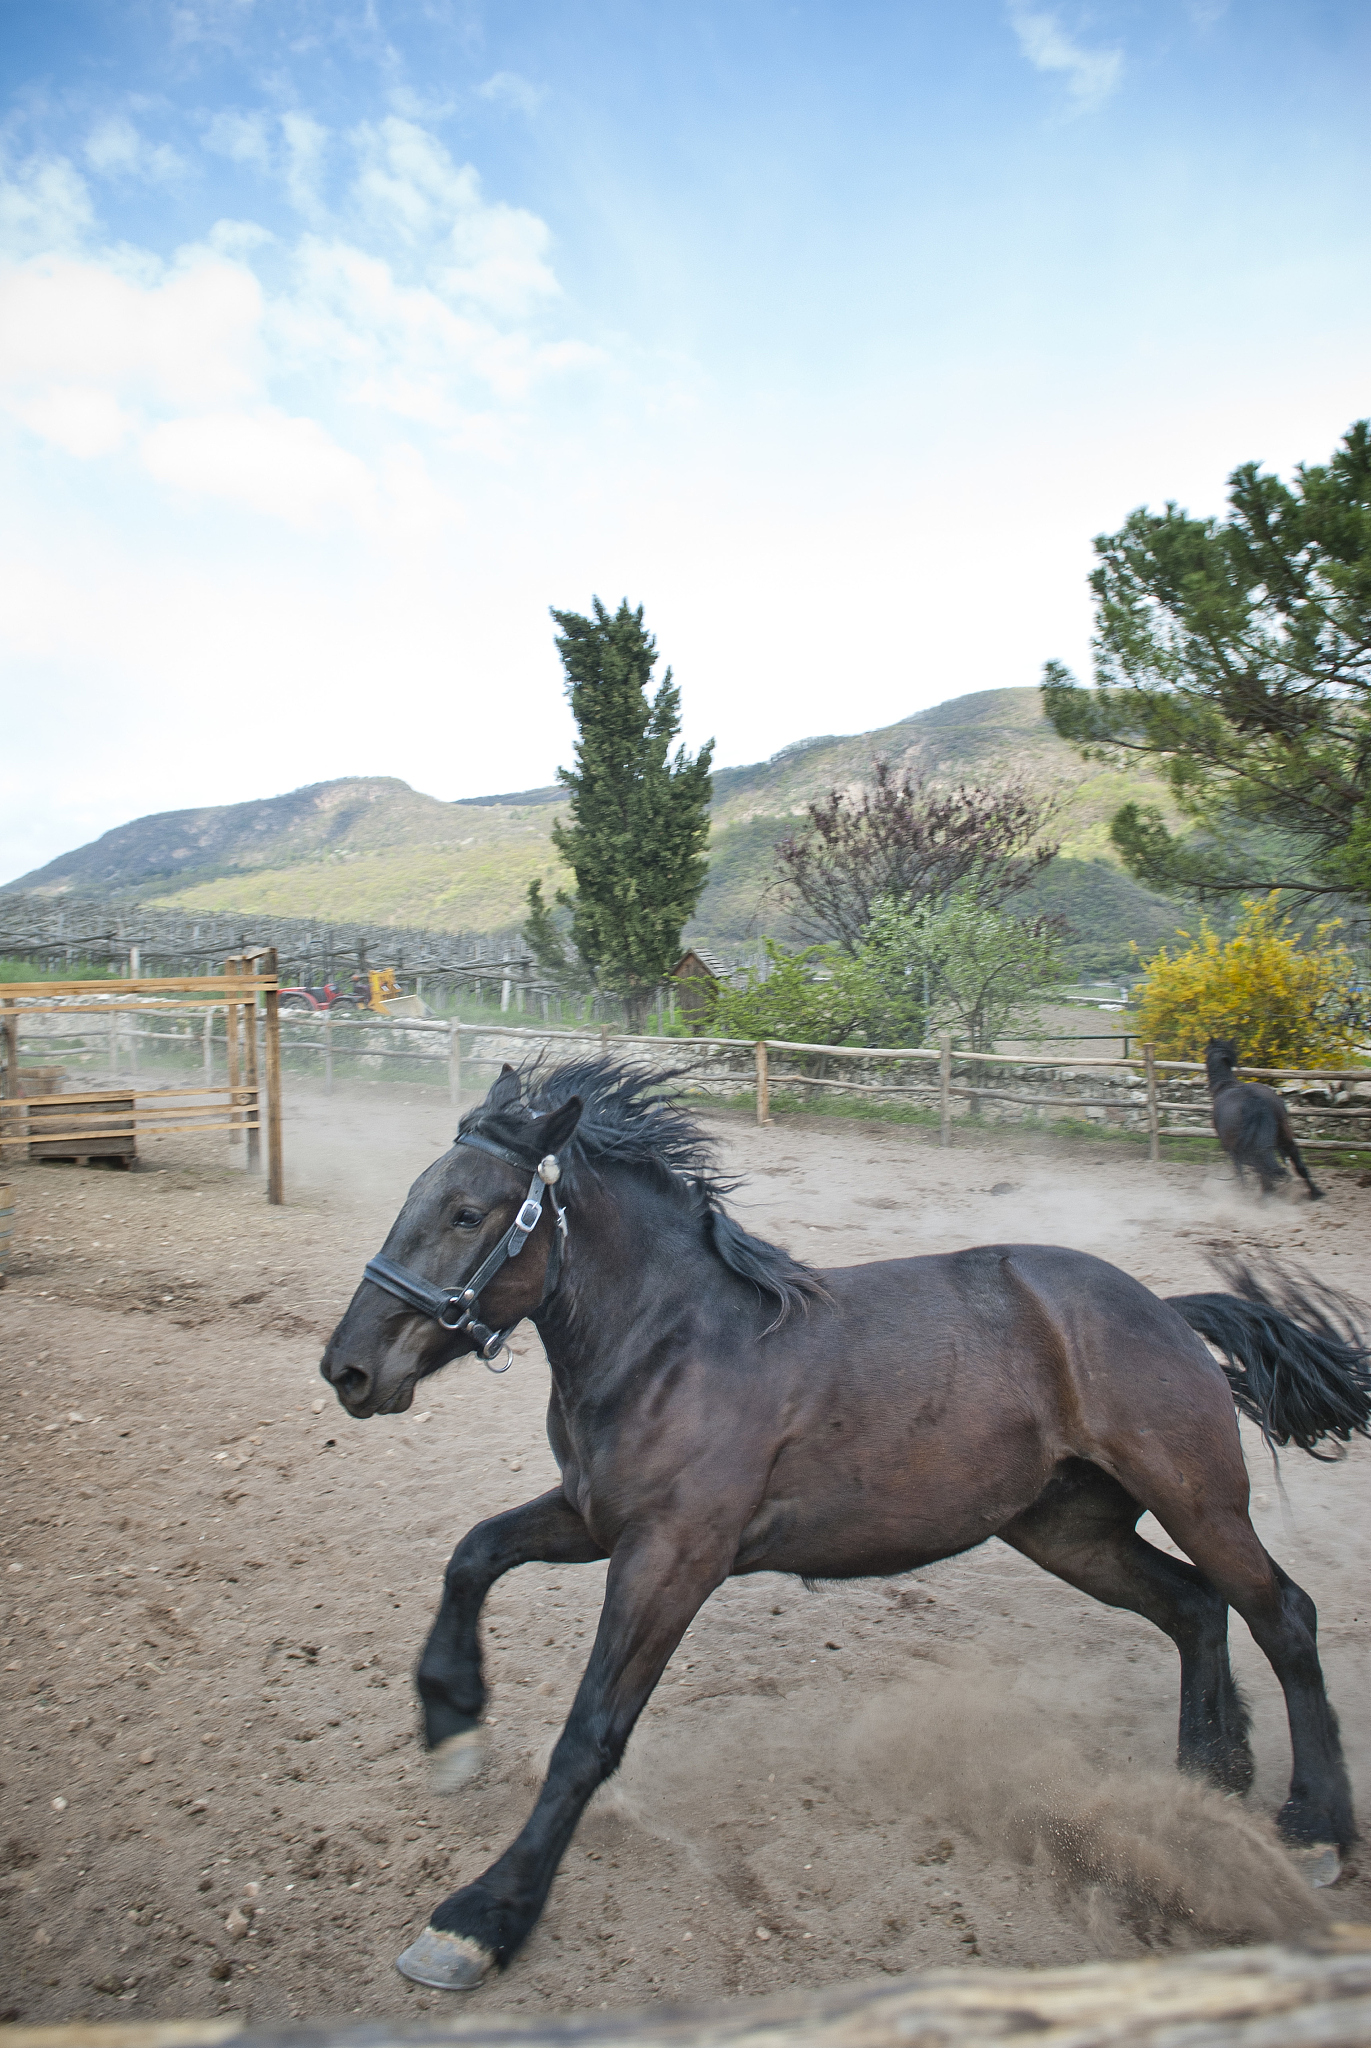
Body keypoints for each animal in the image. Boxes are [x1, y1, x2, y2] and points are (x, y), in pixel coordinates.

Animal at [320, 1056, 1371, 1992]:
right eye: (415, 1197)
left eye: (469, 1213)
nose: (348, 1369)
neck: (671, 1346)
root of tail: (1165, 1309)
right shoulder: (592, 1518)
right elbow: (472, 1554)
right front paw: (451, 1721)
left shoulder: (672, 1557)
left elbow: (589, 1733)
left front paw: (483, 1917)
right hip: (1068, 1530)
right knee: (1194, 1609)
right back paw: (1205, 1784)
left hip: (1196, 1498)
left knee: (1282, 1615)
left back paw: (1313, 1826)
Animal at [1205, 1037, 1325, 1200]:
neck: (1225, 1084)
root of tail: (1253, 1099)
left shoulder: (1231, 1148)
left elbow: (1241, 1172)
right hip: (1284, 1134)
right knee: (1296, 1163)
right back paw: (1314, 1193)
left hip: (1244, 1145)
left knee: (1260, 1166)